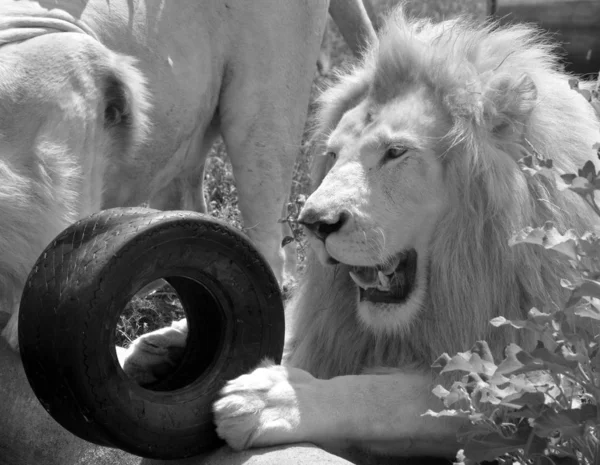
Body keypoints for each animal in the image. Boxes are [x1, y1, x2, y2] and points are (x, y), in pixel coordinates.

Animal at [211, 4, 600, 460]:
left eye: (395, 153)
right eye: (332, 155)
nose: (313, 224)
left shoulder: (524, 390)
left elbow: (384, 398)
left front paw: (274, 398)